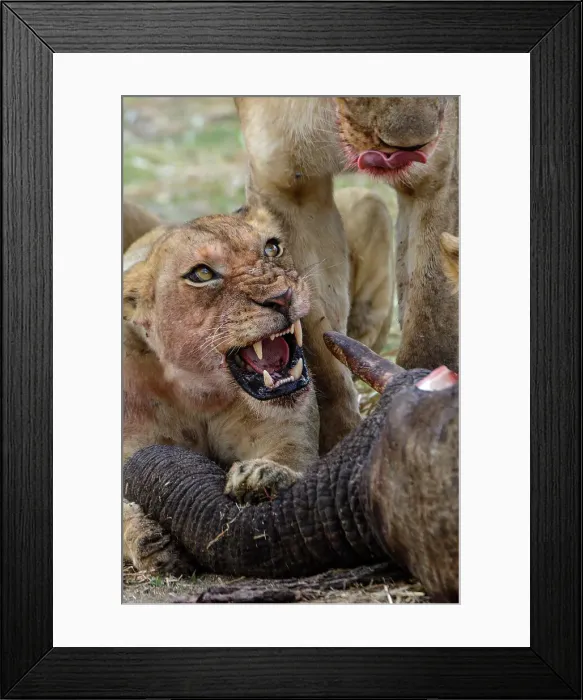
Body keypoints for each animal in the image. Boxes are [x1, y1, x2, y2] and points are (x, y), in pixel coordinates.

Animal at [123, 207, 319, 573]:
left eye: (272, 248)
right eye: (202, 274)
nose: (281, 297)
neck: (199, 394)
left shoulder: (288, 430)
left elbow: (291, 458)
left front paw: (263, 477)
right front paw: (150, 539)